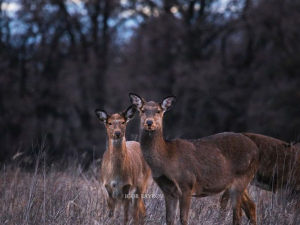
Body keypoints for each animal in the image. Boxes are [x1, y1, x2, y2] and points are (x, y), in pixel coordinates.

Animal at [129, 92, 260, 225]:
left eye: (158, 111)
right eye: (142, 110)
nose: (149, 122)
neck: (167, 158)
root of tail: (256, 148)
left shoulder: (186, 184)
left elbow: (184, 218)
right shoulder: (168, 190)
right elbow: (169, 219)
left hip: (242, 177)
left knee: (238, 214)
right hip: (240, 182)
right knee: (251, 206)